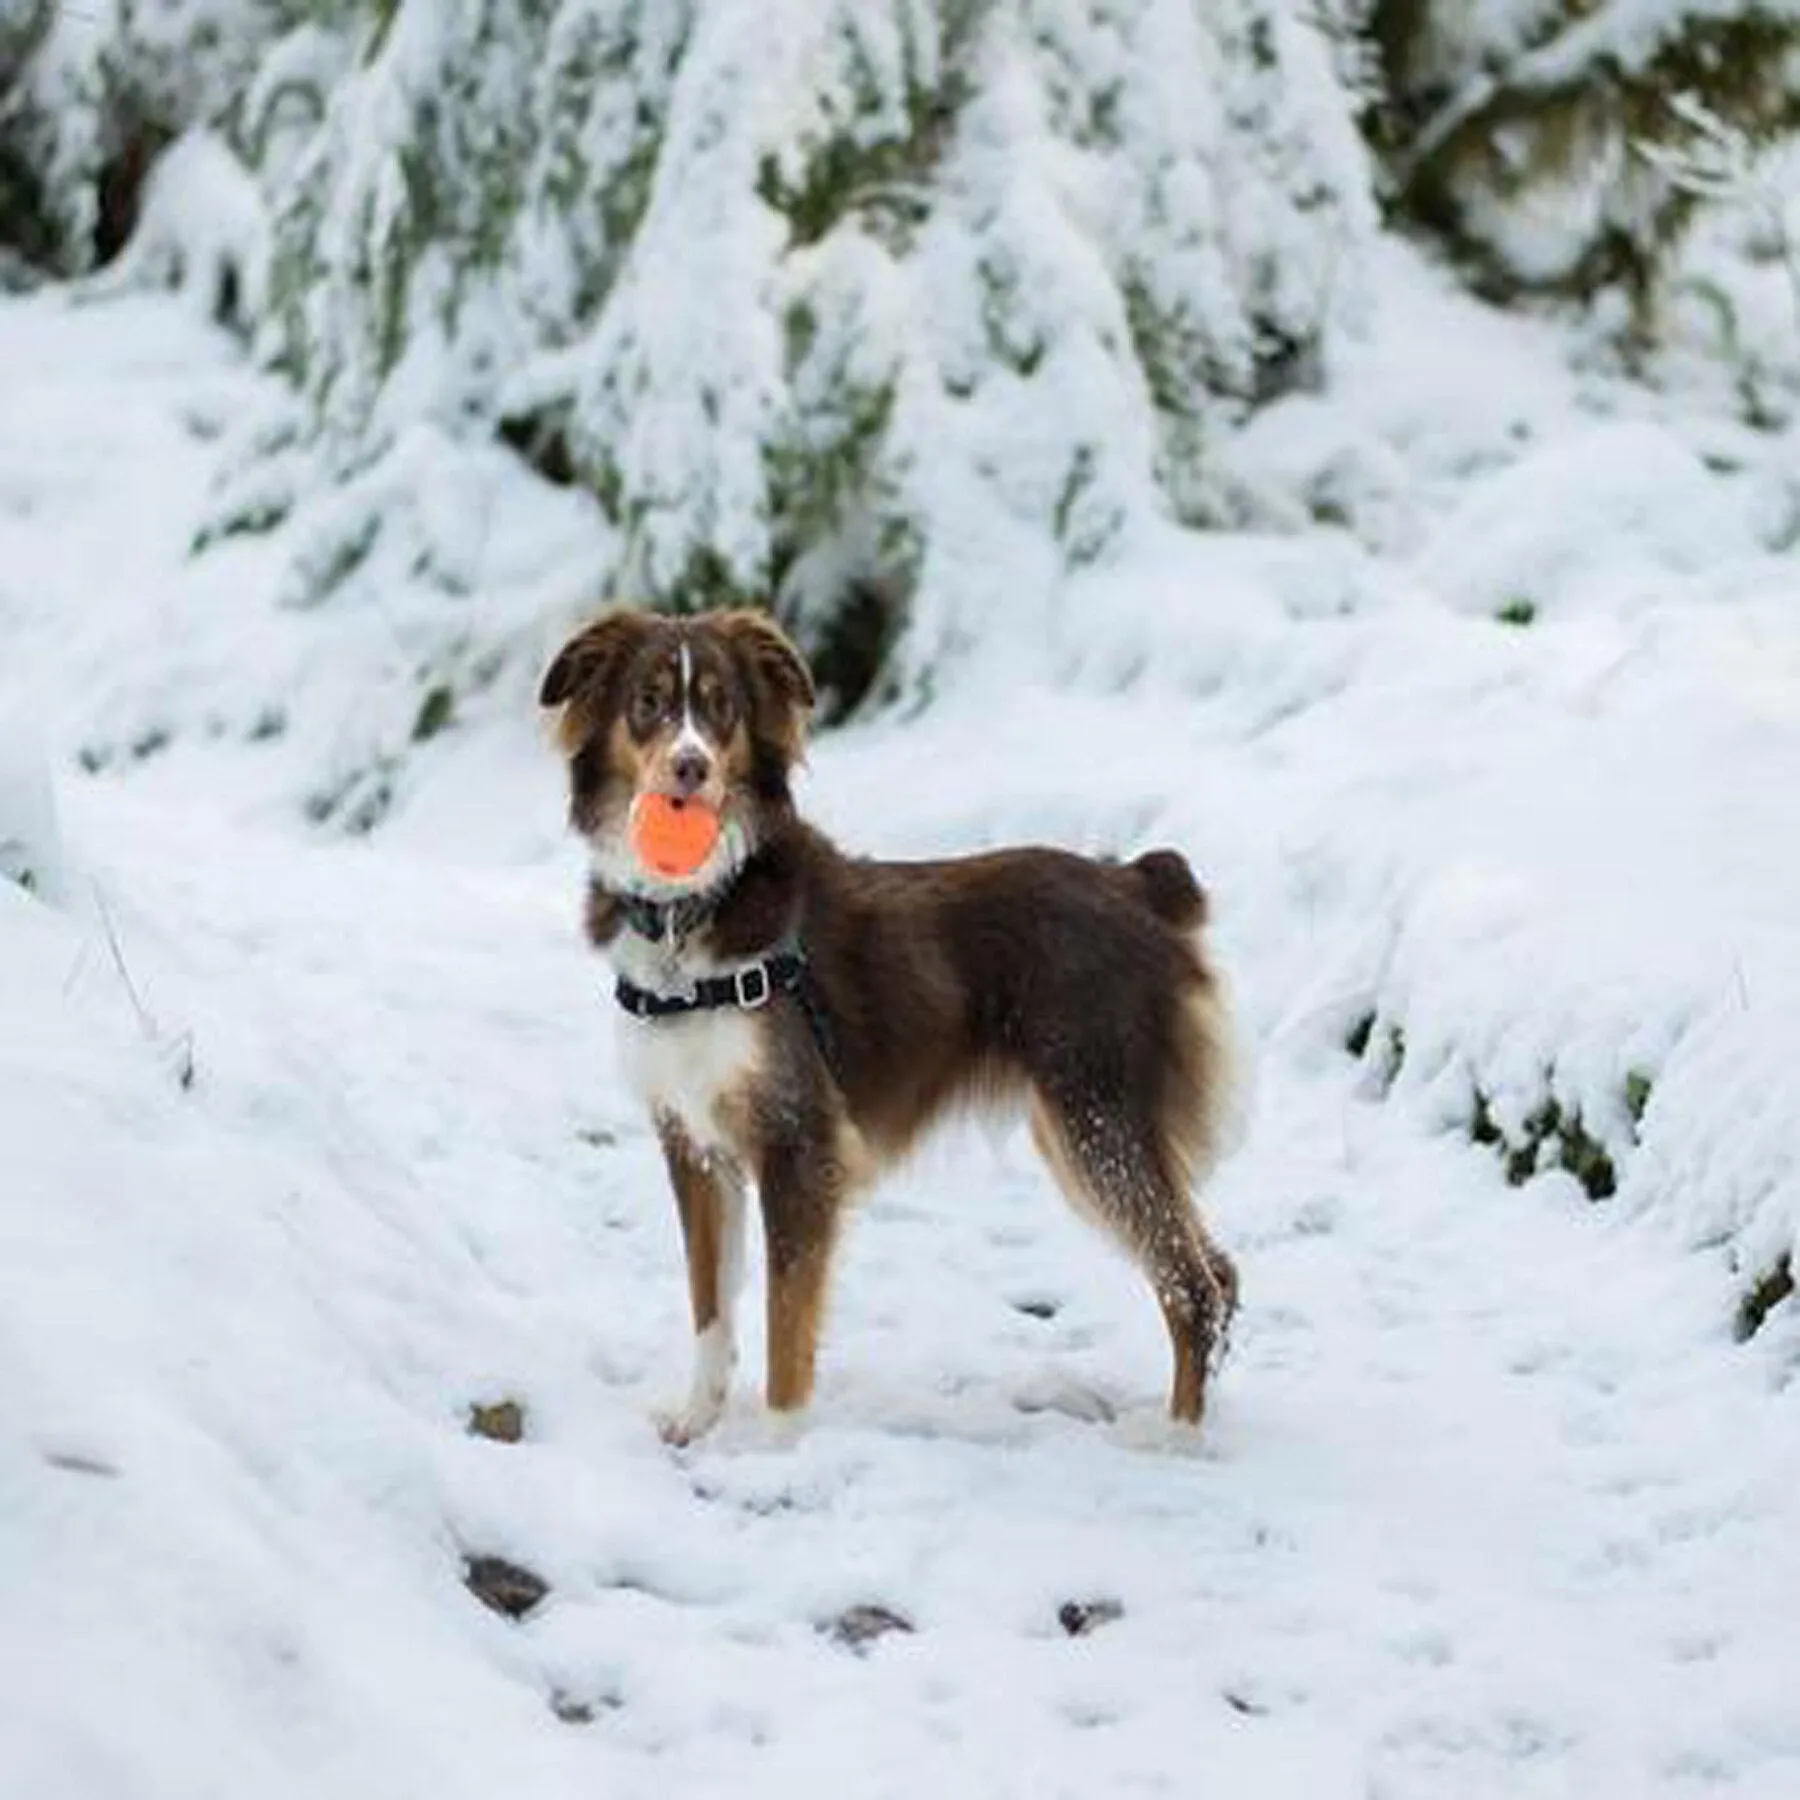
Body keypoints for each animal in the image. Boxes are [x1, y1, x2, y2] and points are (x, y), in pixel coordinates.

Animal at [540, 604, 1245, 1447]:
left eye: (721, 708)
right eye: (646, 703)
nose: (690, 769)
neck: (697, 910)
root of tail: (1139, 884)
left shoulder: (799, 1143)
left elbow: (785, 1322)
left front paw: (777, 1443)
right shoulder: (692, 1142)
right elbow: (710, 1304)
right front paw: (698, 1419)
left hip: (1096, 1120)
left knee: (1192, 1280)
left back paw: (1174, 1438)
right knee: (1219, 1269)